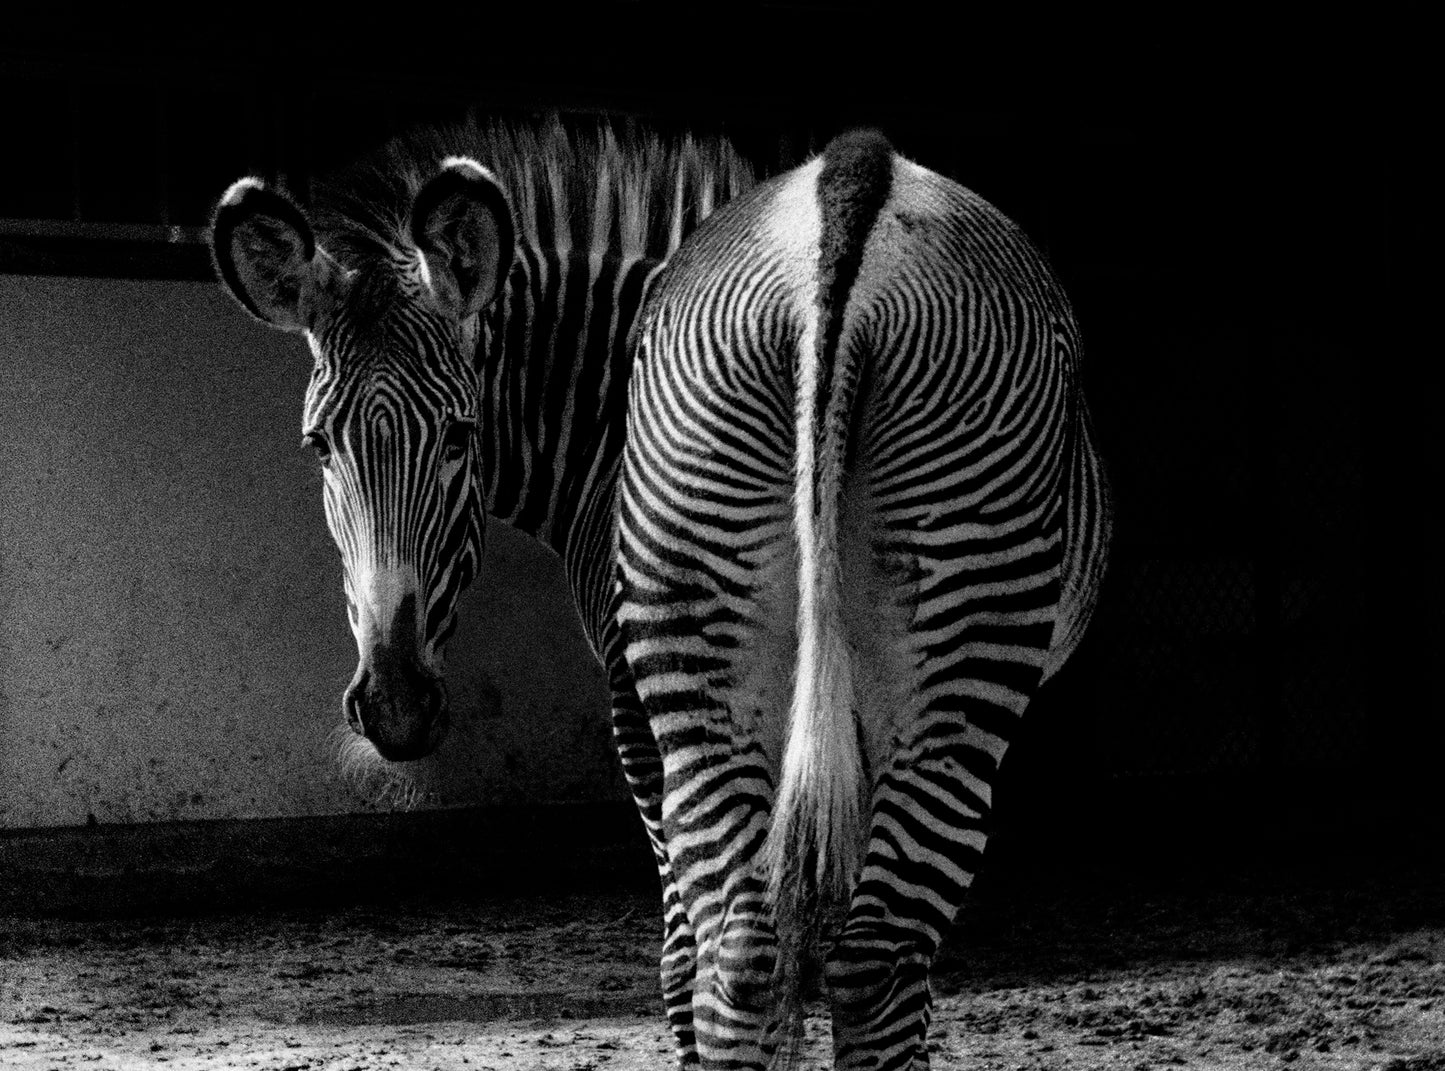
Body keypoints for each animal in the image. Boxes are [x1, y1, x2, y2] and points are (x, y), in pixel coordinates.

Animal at [211, 117, 1109, 1070]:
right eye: (318, 446)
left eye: (460, 435)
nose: (395, 707)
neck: (597, 409)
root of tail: (845, 203)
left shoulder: (628, 690)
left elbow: (685, 954)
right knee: (850, 956)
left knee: (754, 955)